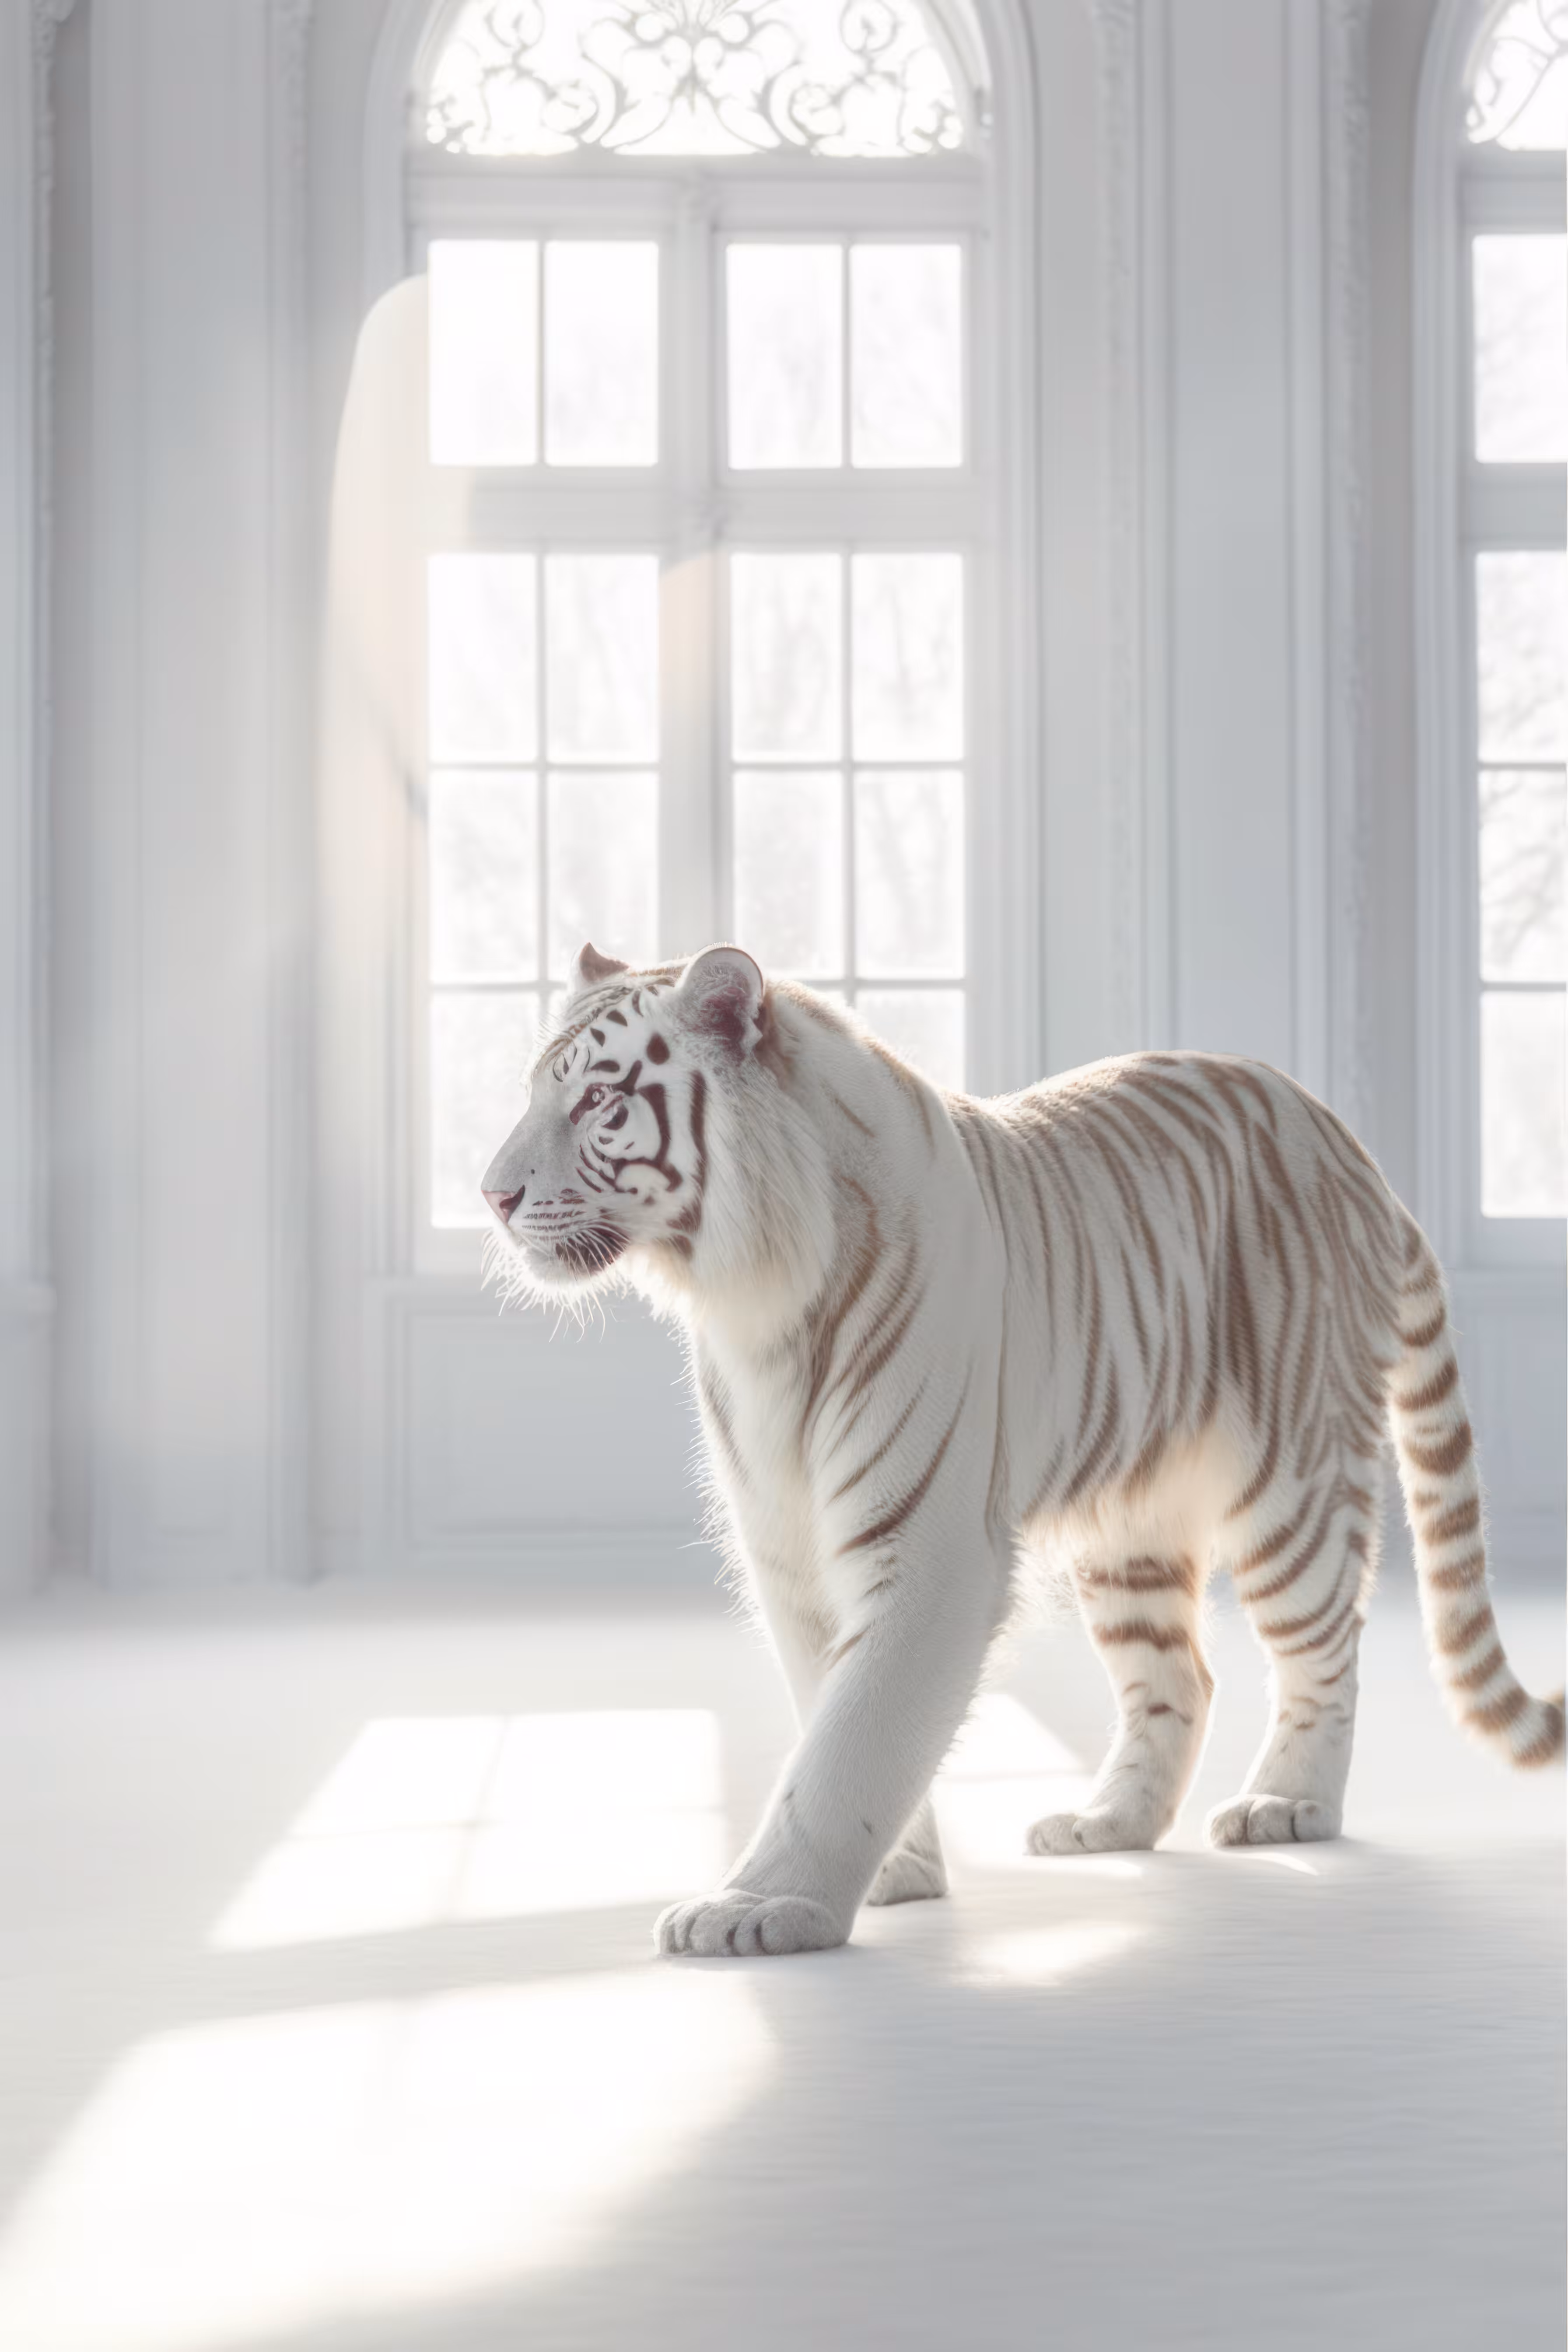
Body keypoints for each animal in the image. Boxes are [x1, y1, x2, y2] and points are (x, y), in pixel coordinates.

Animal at [480, 939, 1564, 1958]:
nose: (491, 1196)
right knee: (1180, 1676)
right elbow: (831, 1703)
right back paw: (1107, 1823)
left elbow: (855, 1734)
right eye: (533, 1091)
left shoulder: (926, 1547)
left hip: (1288, 1482)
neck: (752, 1302)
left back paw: (1287, 1804)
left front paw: (762, 1908)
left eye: (598, 1099)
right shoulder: (788, 1552)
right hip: (1131, 1527)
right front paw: (895, 1875)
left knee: (1322, 1650)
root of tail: (1346, 1143)